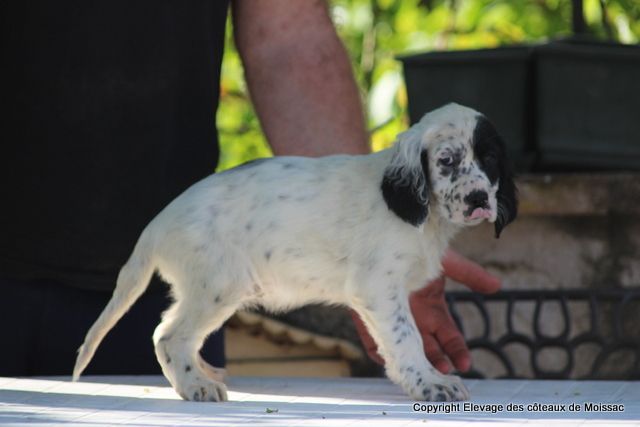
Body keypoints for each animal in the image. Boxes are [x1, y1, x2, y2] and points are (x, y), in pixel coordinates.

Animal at [72, 103, 516, 402]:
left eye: (491, 158)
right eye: (447, 161)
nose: (479, 198)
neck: (422, 214)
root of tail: (157, 224)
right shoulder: (379, 289)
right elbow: (408, 339)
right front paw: (430, 382)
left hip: (206, 290)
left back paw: (204, 373)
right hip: (218, 286)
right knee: (167, 335)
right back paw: (196, 386)